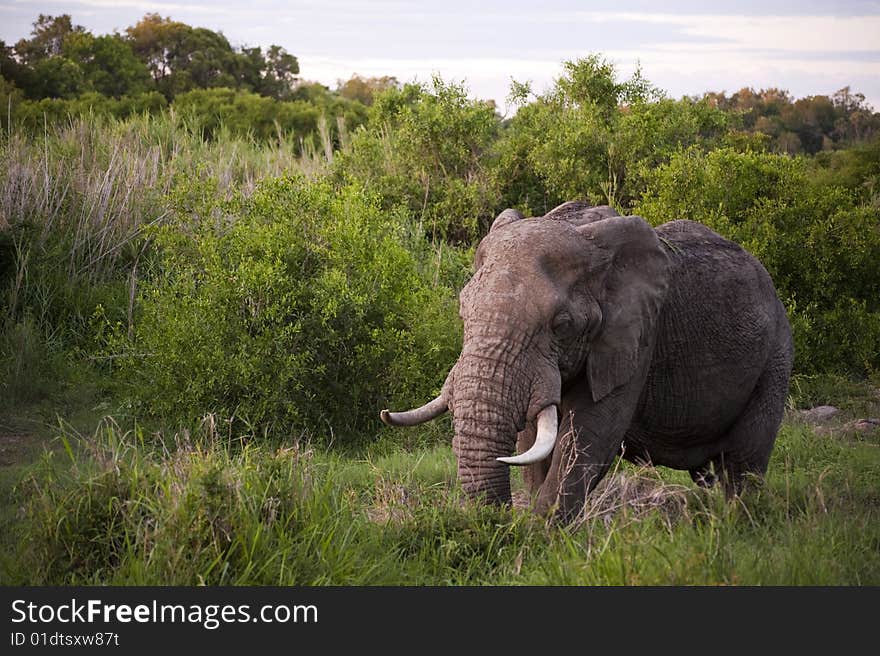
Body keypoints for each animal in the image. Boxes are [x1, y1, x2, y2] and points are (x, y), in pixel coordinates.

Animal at [382, 201, 796, 524]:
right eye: (463, 310)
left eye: (561, 325)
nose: (495, 523)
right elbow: (532, 438)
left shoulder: (637, 338)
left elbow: (590, 435)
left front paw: (537, 537)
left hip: (776, 357)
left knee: (744, 465)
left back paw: (733, 525)